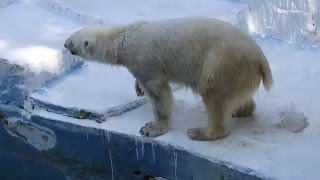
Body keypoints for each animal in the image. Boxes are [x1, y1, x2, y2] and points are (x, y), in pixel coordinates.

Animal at [64, 17, 272, 141]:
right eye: (72, 35)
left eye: (72, 41)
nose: (65, 44)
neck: (125, 38)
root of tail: (261, 60)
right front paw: (138, 88)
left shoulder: (145, 62)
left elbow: (159, 94)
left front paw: (151, 128)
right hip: (239, 73)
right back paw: (240, 110)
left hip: (222, 63)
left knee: (214, 93)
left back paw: (200, 132)